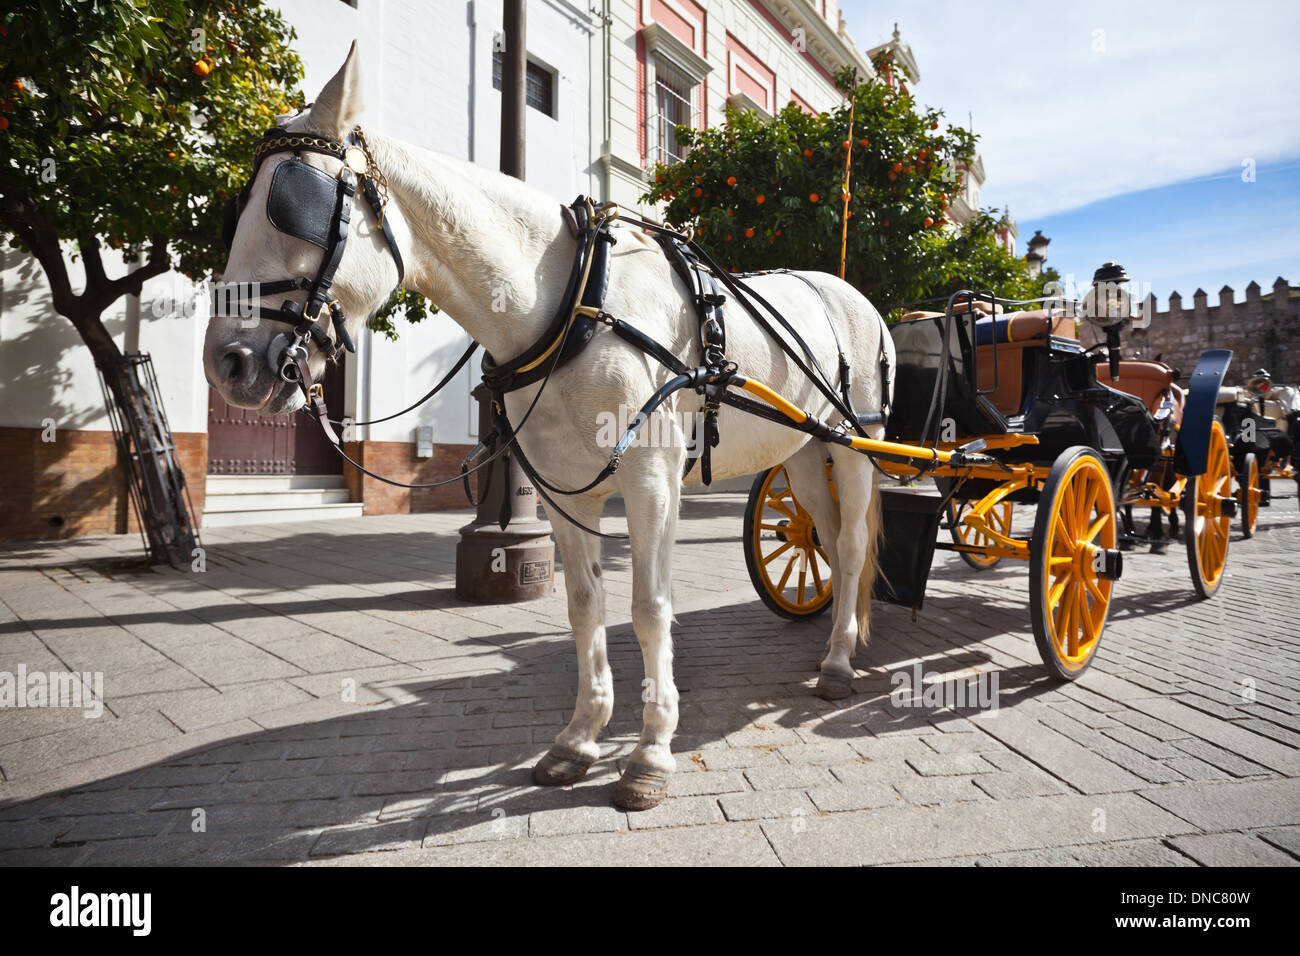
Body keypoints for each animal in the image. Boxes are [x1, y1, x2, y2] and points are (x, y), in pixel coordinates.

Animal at [205, 44, 894, 806]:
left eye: (295, 204)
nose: (227, 362)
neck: (573, 302)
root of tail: (850, 288)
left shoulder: (652, 482)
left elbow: (649, 608)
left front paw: (650, 751)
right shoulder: (563, 489)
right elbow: (585, 606)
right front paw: (580, 737)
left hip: (857, 441)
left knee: (853, 545)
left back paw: (838, 662)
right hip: (802, 450)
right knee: (825, 536)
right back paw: (834, 634)